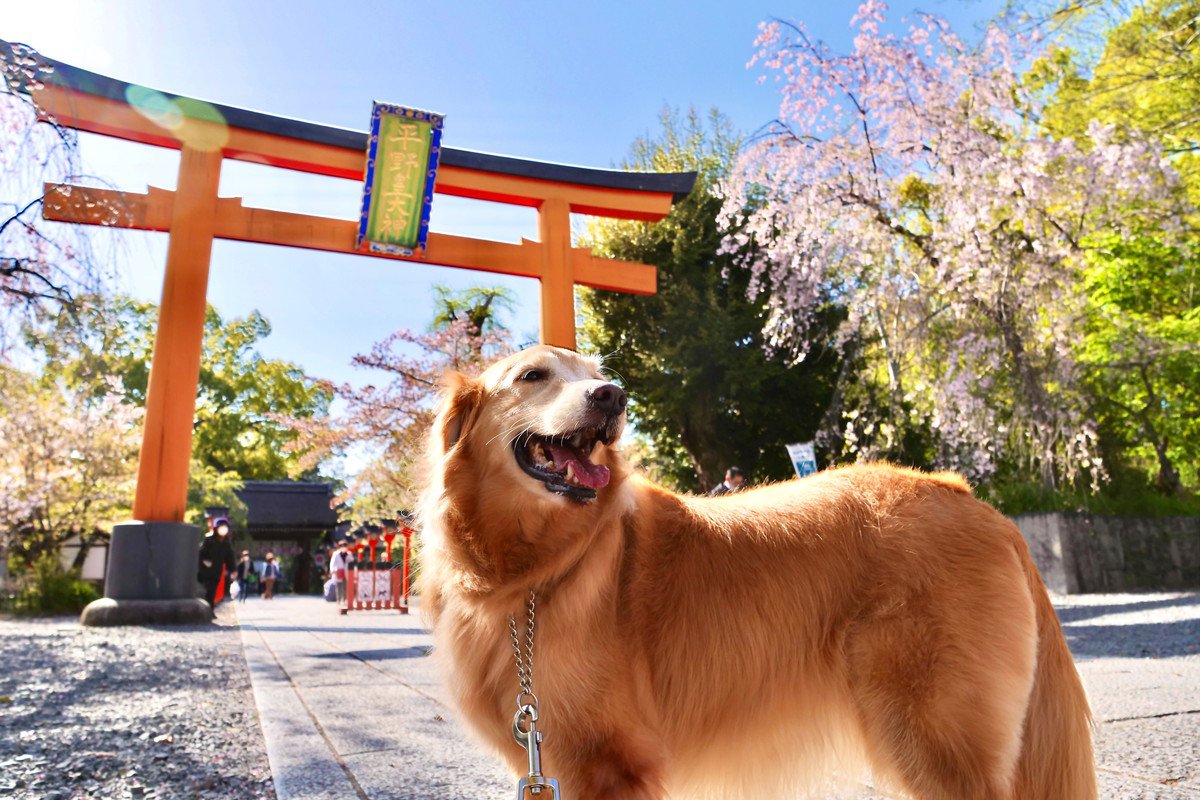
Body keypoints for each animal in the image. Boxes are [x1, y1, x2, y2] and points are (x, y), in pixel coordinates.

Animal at [420, 345, 1099, 800]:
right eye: (533, 376)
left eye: (595, 374)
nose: (612, 394)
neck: (535, 573)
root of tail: (974, 501)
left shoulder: (609, 764)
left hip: (934, 734)